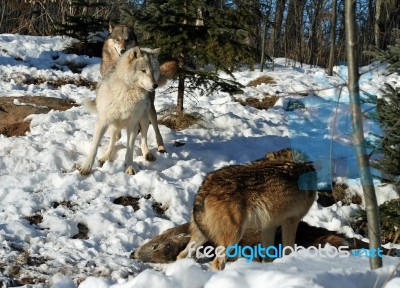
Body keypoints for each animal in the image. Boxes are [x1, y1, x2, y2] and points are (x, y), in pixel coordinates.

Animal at [78, 46, 159, 176]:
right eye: (143, 70)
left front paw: (129, 167)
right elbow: (94, 147)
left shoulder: (132, 125)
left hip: (144, 119)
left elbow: (130, 150)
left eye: (153, 71)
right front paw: (86, 167)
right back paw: (105, 157)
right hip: (113, 125)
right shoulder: (103, 122)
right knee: (113, 140)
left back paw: (147, 154)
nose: (155, 85)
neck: (127, 91)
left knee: (144, 138)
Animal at [99, 23, 177, 154]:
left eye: (128, 40)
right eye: (117, 39)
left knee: (155, 128)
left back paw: (160, 147)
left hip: (150, 108)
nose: (123, 50)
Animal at [177, 148, 318, 270]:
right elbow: (288, 249)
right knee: (217, 263)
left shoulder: (269, 226)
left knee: (181, 255)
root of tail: (205, 187)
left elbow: (268, 255)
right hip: (234, 236)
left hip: (201, 236)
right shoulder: (291, 220)